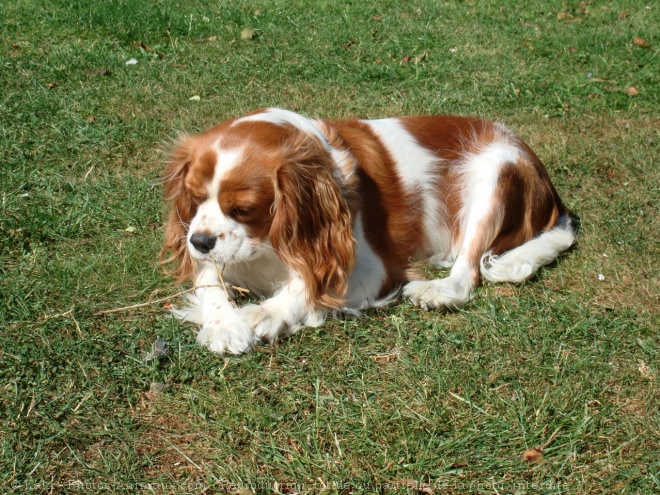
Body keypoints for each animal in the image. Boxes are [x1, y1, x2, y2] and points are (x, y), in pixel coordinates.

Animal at [162, 109, 576, 356]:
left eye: (243, 209)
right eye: (194, 198)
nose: (199, 241)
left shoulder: (369, 268)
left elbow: (308, 287)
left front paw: (264, 313)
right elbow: (209, 280)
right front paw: (224, 323)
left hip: (496, 171)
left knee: (467, 273)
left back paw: (437, 290)